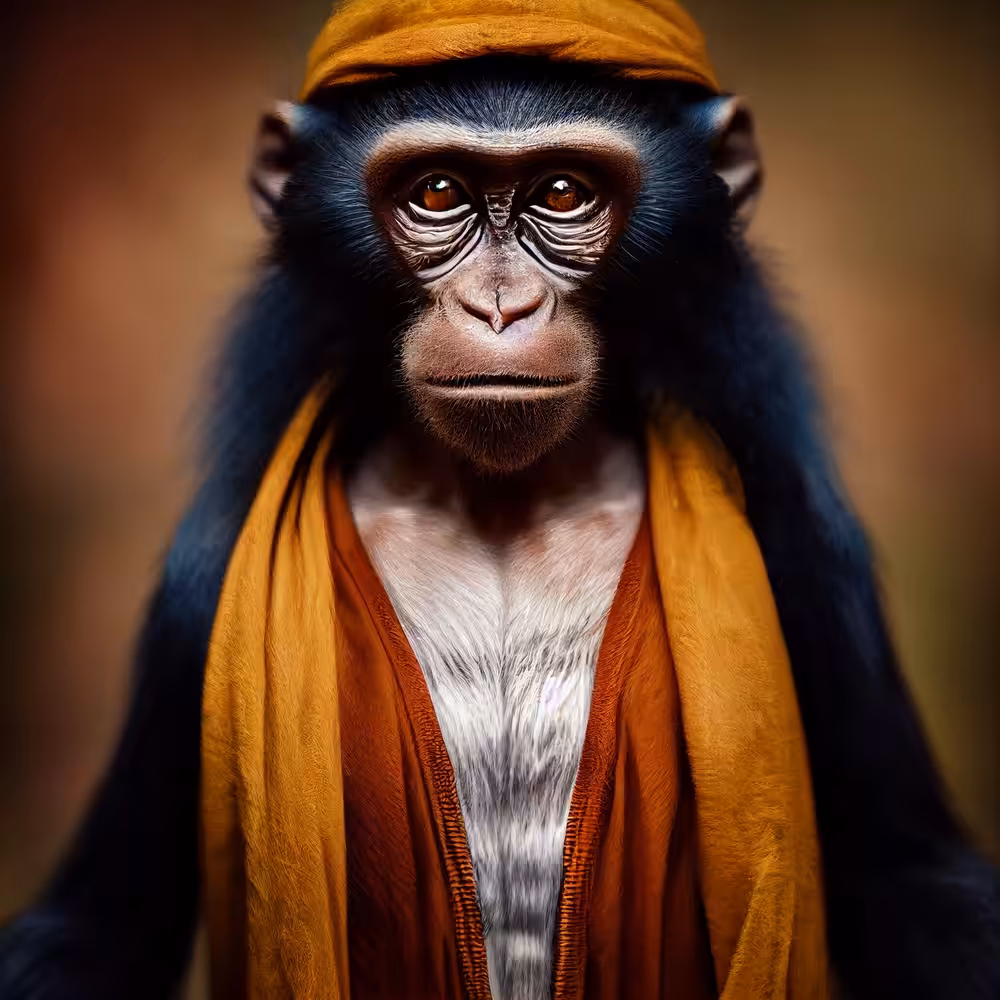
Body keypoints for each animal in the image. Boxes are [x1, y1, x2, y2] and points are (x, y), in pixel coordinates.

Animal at [1, 5, 998, 1000]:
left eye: (561, 193)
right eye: (439, 193)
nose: (500, 307)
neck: (501, 510)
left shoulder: (810, 558)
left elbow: (911, 879)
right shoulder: (196, 586)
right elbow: (99, 926)